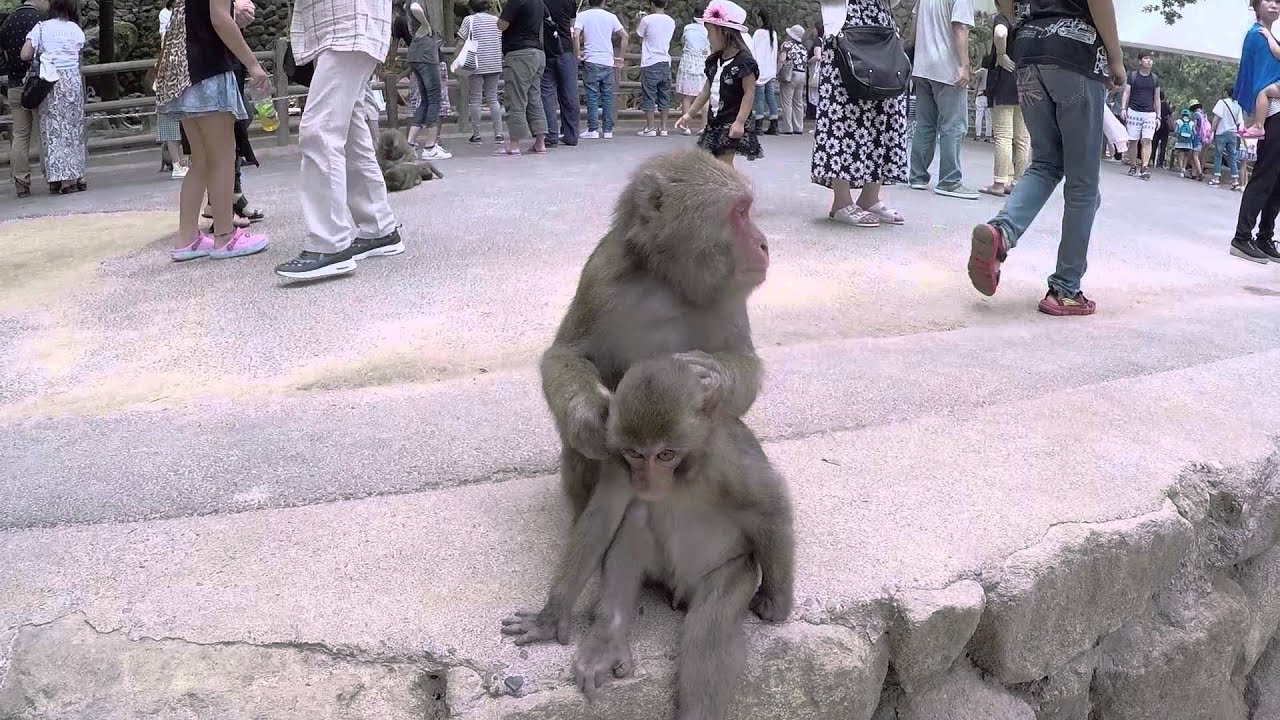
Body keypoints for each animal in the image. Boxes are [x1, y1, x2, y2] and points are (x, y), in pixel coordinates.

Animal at [502, 356, 795, 720]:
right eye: (635, 454)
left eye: (665, 455)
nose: (646, 480)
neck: (684, 471)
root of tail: (678, 590)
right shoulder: (615, 459)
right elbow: (603, 518)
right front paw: (551, 616)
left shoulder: (729, 461)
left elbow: (770, 507)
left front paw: (776, 601)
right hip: (660, 571)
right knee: (636, 519)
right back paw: (607, 639)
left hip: (732, 571)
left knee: (709, 628)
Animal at [540, 149, 770, 526]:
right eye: (740, 211)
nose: (763, 244)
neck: (667, 281)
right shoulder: (602, 276)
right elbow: (567, 355)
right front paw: (586, 415)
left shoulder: (731, 292)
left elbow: (742, 371)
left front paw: (710, 375)